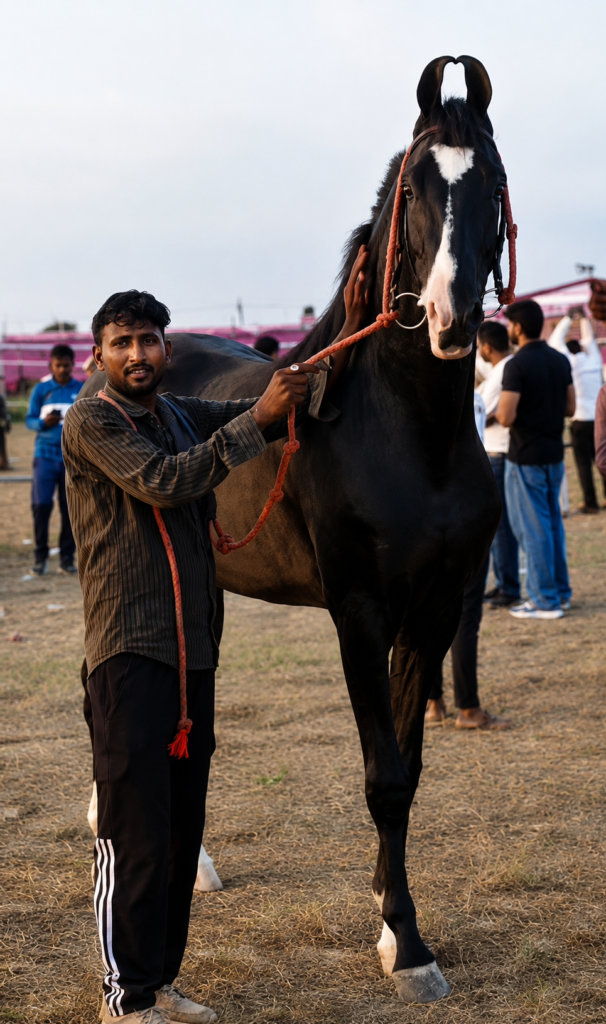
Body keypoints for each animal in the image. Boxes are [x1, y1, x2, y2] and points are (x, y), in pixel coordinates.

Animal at [82, 55, 506, 1002]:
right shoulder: (359, 614)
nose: (453, 316)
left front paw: (392, 919)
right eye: (416, 188)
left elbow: (409, 773)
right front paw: (409, 949)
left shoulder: (431, 613)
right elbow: (382, 778)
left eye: (492, 181)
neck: (409, 435)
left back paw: (195, 863)